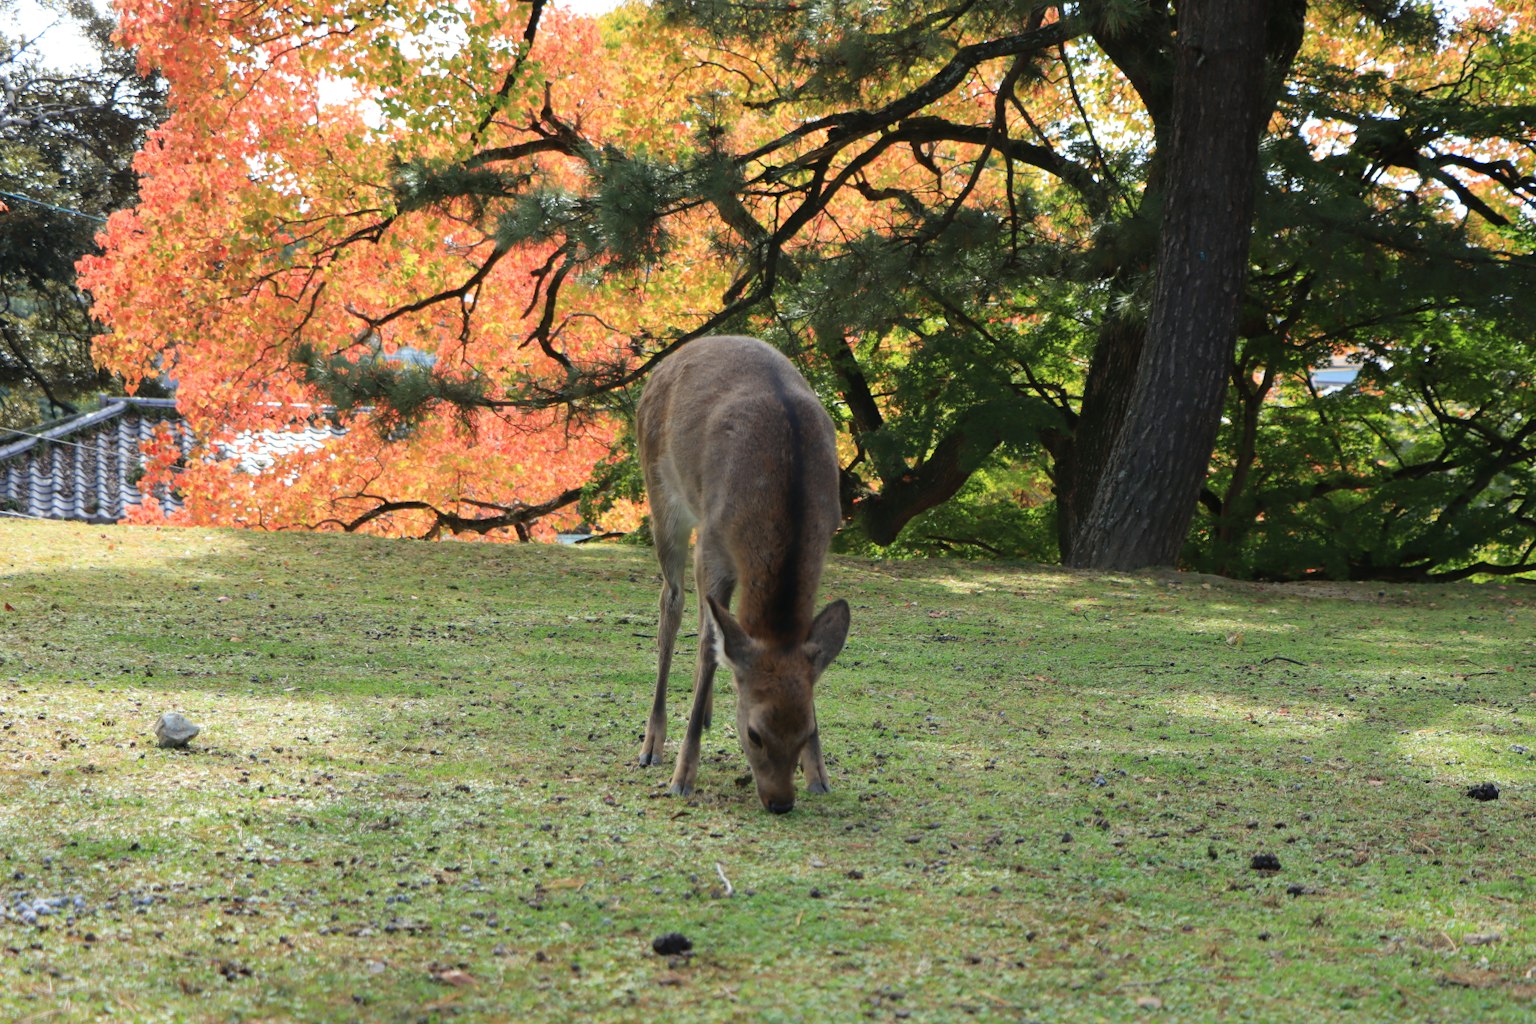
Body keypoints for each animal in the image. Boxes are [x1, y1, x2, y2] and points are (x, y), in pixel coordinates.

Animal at [635, 335, 850, 814]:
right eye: (754, 734)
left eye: (806, 729)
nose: (780, 802)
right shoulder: (713, 541)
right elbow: (705, 643)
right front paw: (682, 777)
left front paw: (820, 775)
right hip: (661, 492)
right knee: (672, 602)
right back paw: (652, 744)